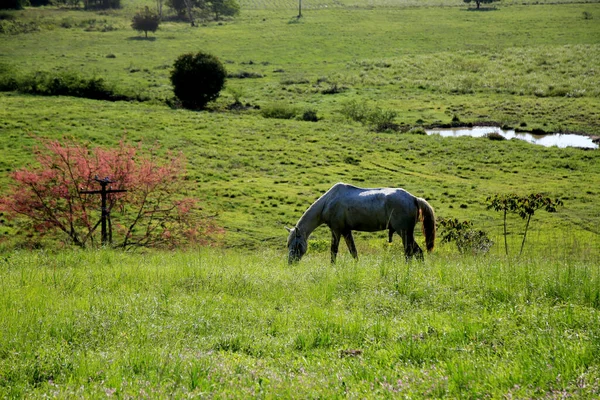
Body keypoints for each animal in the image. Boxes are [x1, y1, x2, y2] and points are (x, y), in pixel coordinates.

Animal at [286, 183, 436, 264]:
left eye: (296, 244)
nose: (290, 263)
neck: (328, 201)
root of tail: (414, 198)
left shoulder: (336, 230)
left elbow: (333, 251)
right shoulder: (346, 231)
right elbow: (353, 252)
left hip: (404, 232)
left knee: (410, 252)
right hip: (407, 234)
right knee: (417, 252)